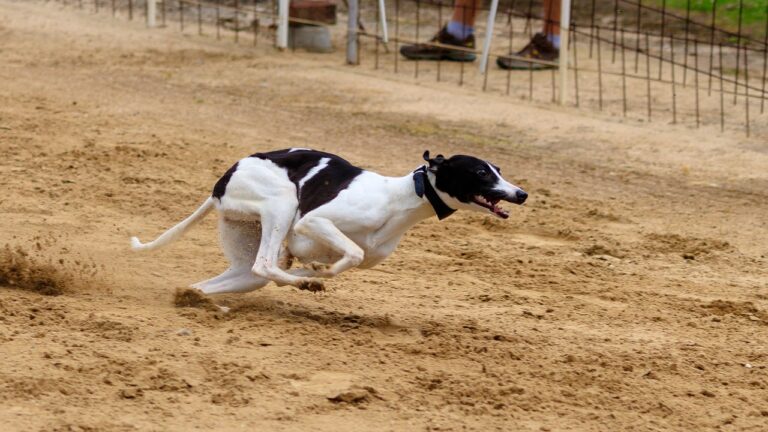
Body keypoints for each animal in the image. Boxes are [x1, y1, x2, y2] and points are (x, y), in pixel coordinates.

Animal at [132, 148, 528, 294]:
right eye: (480, 172)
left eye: (498, 169)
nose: (521, 193)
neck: (399, 200)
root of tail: (221, 182)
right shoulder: (314, 222)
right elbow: (350, 253)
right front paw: (316, 275)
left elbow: (344, 257)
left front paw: (312, 271)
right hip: (281, 203)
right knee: (264, 265)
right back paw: (305, 282)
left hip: (244, 251)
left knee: (236, 276)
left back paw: (193, 296)